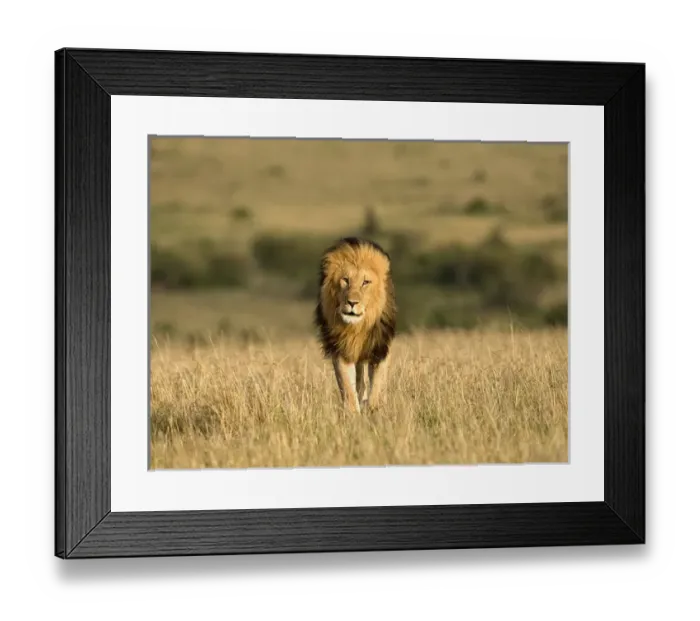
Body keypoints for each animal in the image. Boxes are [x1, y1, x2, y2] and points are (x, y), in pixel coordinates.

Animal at [314, 237, 397, 414]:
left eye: (365, 282)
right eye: (345, 280)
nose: (352, 302)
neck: (357, 327)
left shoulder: (380, 348)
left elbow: (378, 384)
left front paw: (373, 408)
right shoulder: (341, 349)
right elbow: (347, 386)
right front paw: (353, 413)